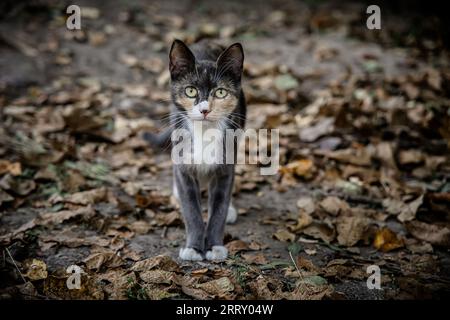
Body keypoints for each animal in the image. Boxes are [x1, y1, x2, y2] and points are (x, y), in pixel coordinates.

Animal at [145, 38, 246, 262]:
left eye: (220, 92)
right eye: (190, 90)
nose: (204, 109)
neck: (204, 133)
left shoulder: (226, 165)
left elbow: (219, 207)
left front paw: (215, 246)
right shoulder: (184, 166)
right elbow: (191, 209)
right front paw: (193, 248)